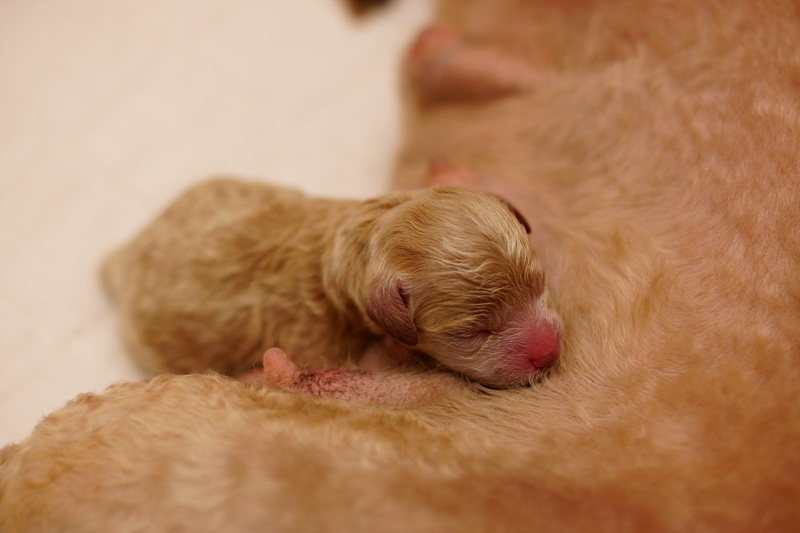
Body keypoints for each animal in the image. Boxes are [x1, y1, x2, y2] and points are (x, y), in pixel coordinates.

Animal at [102, 178, 561, 388]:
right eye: (471, 333)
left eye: (540, 284)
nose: (550, 353)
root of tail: (123, 259)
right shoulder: (319, 344)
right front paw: (399, 349)